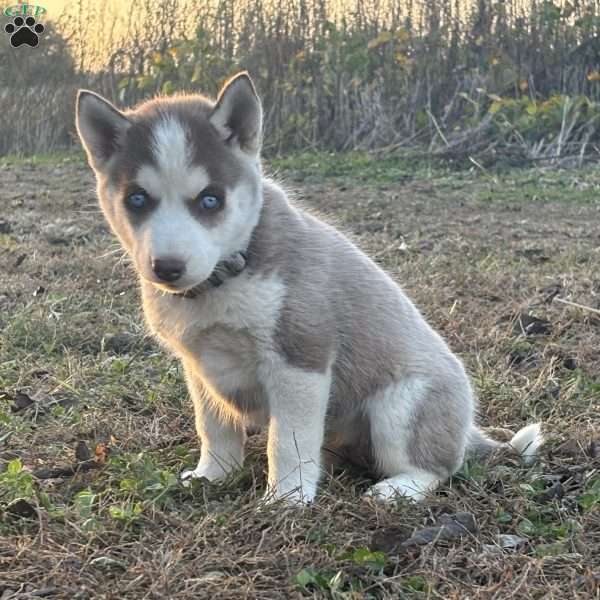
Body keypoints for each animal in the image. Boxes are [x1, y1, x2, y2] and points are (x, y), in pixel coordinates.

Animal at [76, 71, 544, 506]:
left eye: (211, 199)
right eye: (137, 199)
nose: (167, 268)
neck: (226, 277)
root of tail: (470, 431)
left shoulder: (299, 359)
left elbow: (286, 440)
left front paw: (285, 499)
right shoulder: (201, 367)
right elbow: (214, 428)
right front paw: (213, 476)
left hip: (401, 405)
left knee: (438, 468)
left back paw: (397, 489)